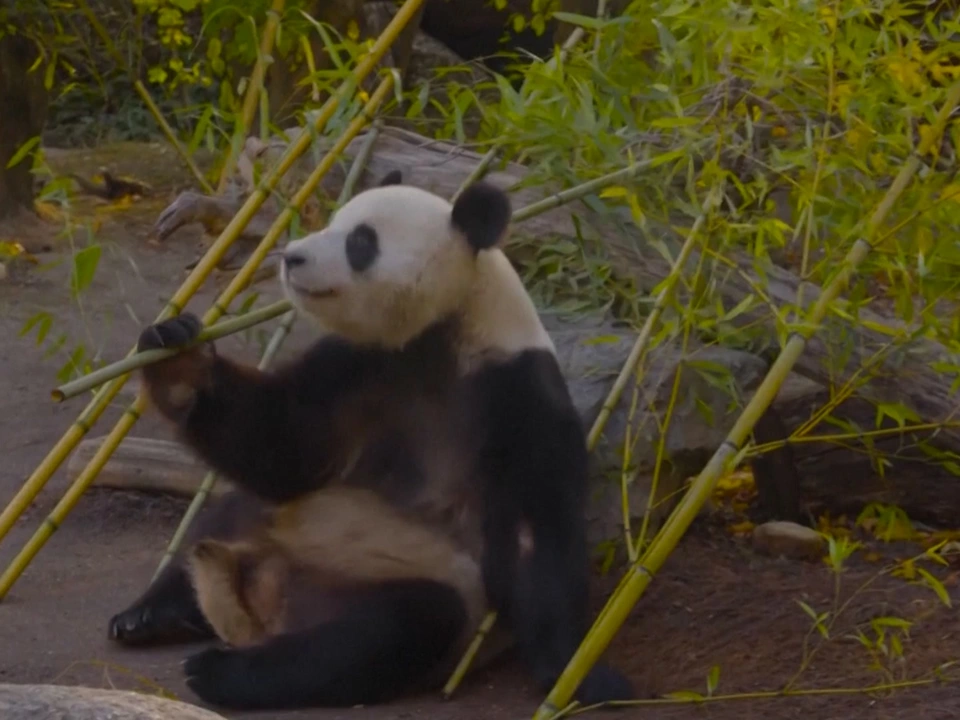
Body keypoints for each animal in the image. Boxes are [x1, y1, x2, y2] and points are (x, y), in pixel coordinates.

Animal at [106, 171, 635, 710]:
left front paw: (582, 677)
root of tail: (262, 602)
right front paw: (179, 360)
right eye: (334, 221)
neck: (444, 329)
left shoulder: (515, 390)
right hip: (271, 527)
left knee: (388, 631)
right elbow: (284, 447)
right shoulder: (359, 365)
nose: (291, 256)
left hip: (391, 584)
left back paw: (221, 671)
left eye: (361, 242)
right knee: (227, 513)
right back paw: (148, 616)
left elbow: (535, 539)